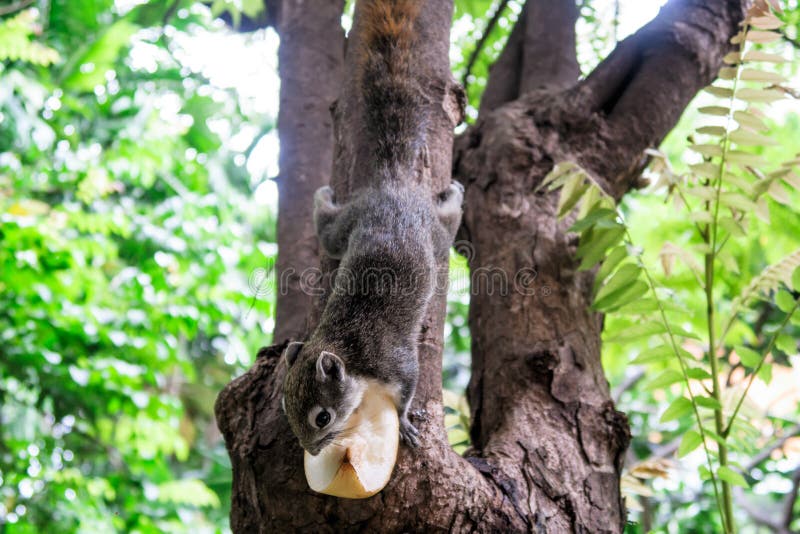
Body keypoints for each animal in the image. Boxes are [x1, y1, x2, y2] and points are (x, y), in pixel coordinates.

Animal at [281, 0, 463, 455]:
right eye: (285, 409)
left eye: (323, 417)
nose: (312, 451)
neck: (344, 344)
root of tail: (392, 187)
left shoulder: (396, 363)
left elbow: (406, 392)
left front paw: (406, 423)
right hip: (352, 223)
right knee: (330, 229)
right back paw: (322, 197)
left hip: (431, 233)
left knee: (447, 226)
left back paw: (453, 196)